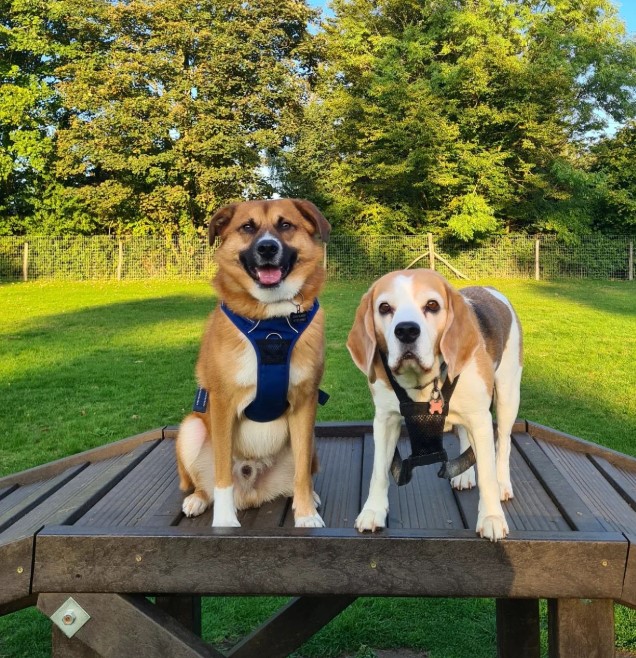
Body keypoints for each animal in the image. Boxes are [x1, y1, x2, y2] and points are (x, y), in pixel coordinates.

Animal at [175, 197, 330, 524]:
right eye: (247, 227)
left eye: (286, 225)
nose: (267, 248)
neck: (272, 321)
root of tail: (251, 489)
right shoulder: (222, 404)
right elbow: (222, 476)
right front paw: (224, 522)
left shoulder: (305, 402)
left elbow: (301, 475)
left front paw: (306, 515)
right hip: (191, 429)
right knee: (205, 484)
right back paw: (197, 500)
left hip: (311, 440)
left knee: (301, 474)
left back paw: (308, 497)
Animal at [348, 266, 520, 540]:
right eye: (384, 308)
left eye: (432, 305)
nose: (406, 330)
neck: (424, 383)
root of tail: (489, 289)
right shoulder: (384, 420)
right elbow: (379, 471)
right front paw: (373, 510)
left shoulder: (481, 420)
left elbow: (487, 474)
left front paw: (491, 517)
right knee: (465, 436)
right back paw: (464, 473)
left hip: (508, 395)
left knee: (503, 443)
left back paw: (503, 483)